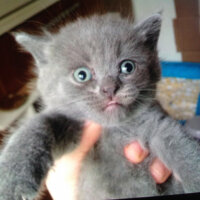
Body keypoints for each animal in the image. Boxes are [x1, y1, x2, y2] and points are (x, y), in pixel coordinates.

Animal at [0, 14, 200, 200]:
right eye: (82, 75)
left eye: (127, 67)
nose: (109, 89)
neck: (113, 129)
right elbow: (38, 125)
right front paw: (13, 179)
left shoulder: (156, 123)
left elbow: (181, 147)